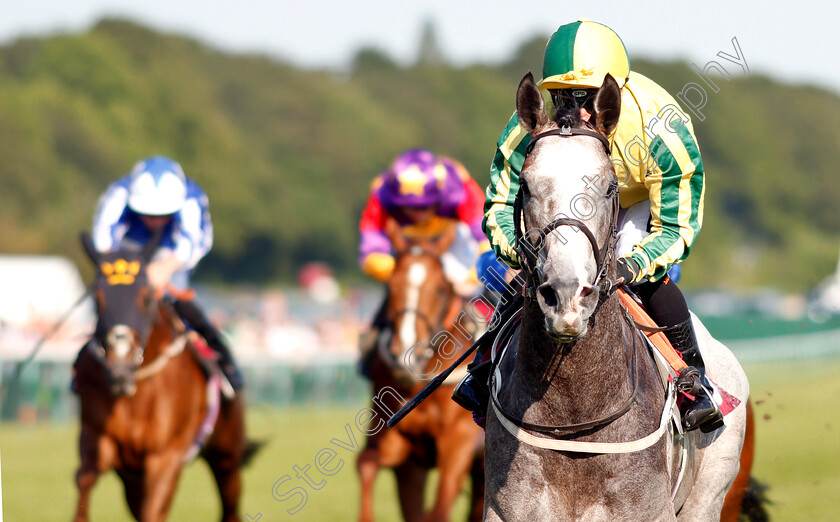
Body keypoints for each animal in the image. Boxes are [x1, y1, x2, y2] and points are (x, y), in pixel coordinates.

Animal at [73, 236, 246, 520]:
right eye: (97, 300)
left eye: (146, 297)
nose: (120, 365)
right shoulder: (100, 439)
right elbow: (84, 479)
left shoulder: (165, 457)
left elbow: (153, 510)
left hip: (227, 456)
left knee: (230, 506)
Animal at [356, 222, 486, 520]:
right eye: (390, 287)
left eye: (439, 289)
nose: (406, 351)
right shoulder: (404, 452)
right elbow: (366, 464)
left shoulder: (460, 441)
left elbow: (440, 505)